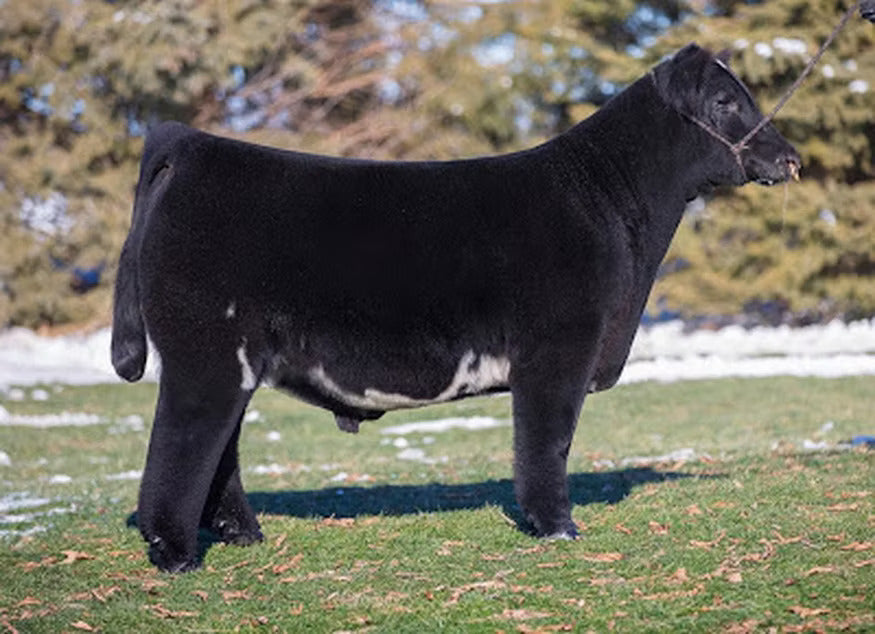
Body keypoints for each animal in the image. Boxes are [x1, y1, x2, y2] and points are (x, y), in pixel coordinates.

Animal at [112, 44, 801, 572]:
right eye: (725, 102)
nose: (789, 158)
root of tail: (192, 145)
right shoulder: (560, 348)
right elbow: (547, 443)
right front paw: (558, 527)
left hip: (234, 362)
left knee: (219, 451)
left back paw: (243, 535)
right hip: (204, 355)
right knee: (180, 448)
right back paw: (177, 556)